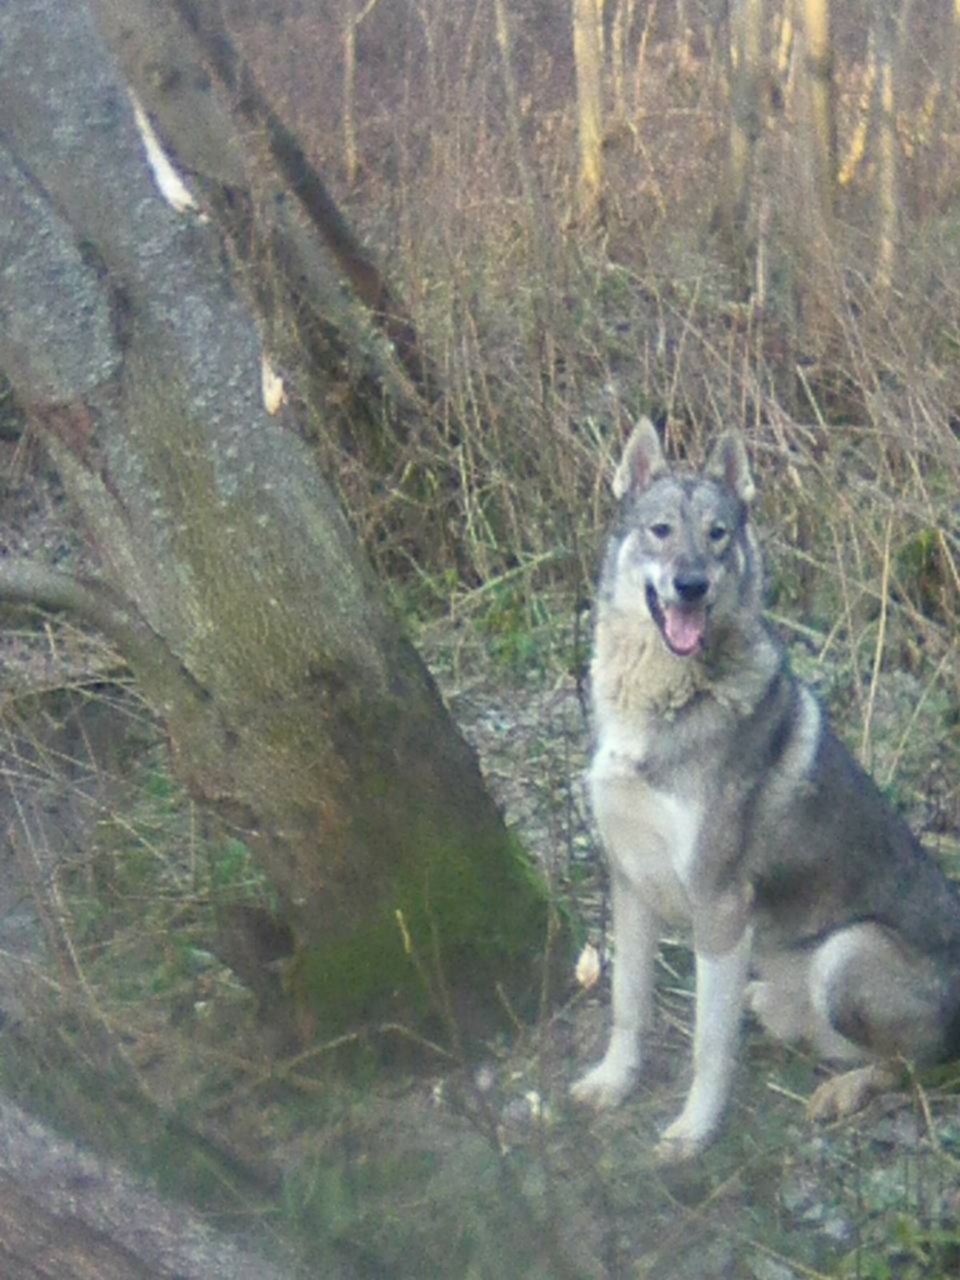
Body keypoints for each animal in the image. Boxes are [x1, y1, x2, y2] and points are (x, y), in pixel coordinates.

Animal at [570, 419, 960, 1162]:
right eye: (661, 530)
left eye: (718, 534)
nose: (692, 585)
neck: (660, 703)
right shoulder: (629, 881)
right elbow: (628, 1006)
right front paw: (613, 1081)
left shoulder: (720, 905)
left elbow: (706, 1044)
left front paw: (694, 1132)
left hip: (844, 953)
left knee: (914, 1066)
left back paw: (843, 1091)